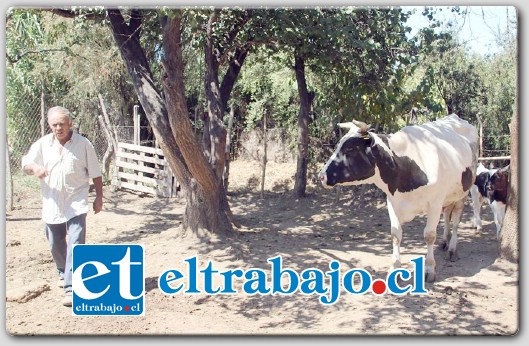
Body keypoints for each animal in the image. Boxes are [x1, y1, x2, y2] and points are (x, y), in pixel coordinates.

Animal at [318, 113, 478, 282]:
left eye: (350, 149)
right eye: (338, 145)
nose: (321, 176)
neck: (404, 166)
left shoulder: (434, 203)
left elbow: (429, 235)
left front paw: (429, 269)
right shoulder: (392, 202)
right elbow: (395, 235)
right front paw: (395, 267)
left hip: (462, 193)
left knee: (456, 221)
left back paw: (452, 250)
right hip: (449, 196)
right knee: (447, 214)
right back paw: (444, 243)